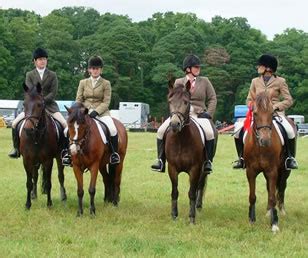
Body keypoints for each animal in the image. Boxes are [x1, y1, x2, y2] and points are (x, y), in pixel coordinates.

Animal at [20, 82, 67, 210]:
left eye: (40, 105)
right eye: (24, 104)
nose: (28, 129)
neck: (36, 136)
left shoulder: (48, 160)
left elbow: (49, 182)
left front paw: (49, 203)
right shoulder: (27, 160)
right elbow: (29, 182)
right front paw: (27, 204)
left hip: (59, 158)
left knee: (61, 176)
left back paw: (63, 196)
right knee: (35, 177)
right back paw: (34, 195)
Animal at [165, 80, 218, 224]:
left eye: (186, 102)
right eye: (170, 101)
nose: (174, 124)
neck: (181, 140)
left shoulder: (195, 168)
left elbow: (192, 192)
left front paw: (192, 218)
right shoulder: (172, 168)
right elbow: (174, 191)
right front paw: (174, 215)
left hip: (204, 167)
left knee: (200, 184)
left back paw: (198, 207)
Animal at [243, 90, 292, 232]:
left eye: (271, 113)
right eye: (255, 113)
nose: (264, 140)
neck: (260, 148)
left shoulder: (272, 171)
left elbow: (272, 196)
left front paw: (274, 224)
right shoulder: (250, 171)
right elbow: (252, 196)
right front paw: (252, 220)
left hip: (285, 171)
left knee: (281, 188)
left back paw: (281, 211)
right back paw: (268, 211)